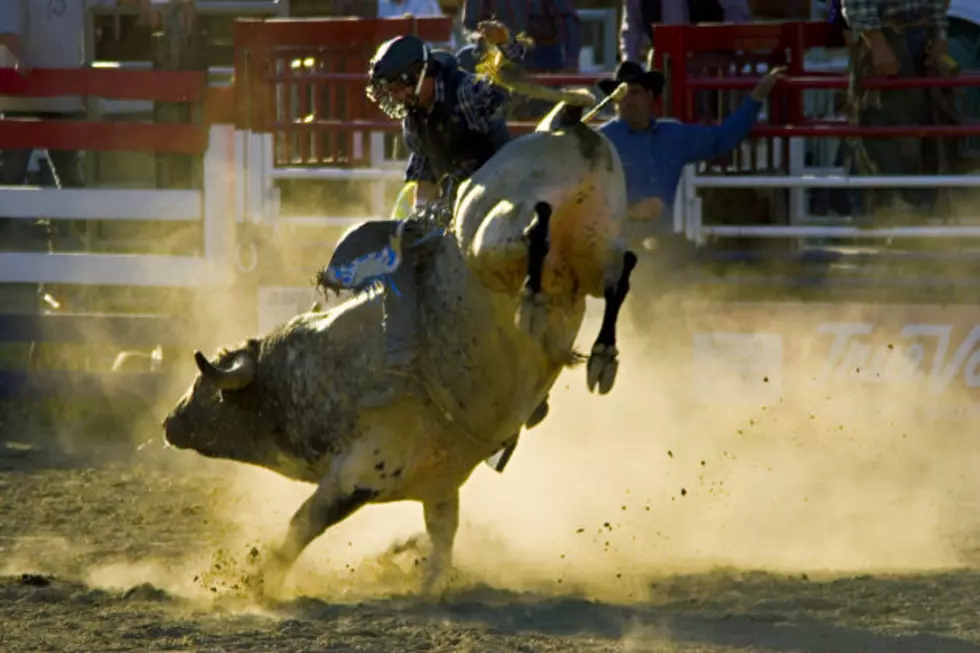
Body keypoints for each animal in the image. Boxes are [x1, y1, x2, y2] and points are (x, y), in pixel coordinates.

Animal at [163, 80, 636, 592]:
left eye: (206, 386)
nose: (170, 422)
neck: (319, 373)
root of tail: (562, 121)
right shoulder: (440, 486)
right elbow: (442, 539)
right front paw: (430, 585)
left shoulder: (357, 472)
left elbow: (303, 525)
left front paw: (259, 583)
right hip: (595, 239)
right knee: (618, 272)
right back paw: (601, 356)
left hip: (490, 234)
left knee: (535, 231)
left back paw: (534, 300)